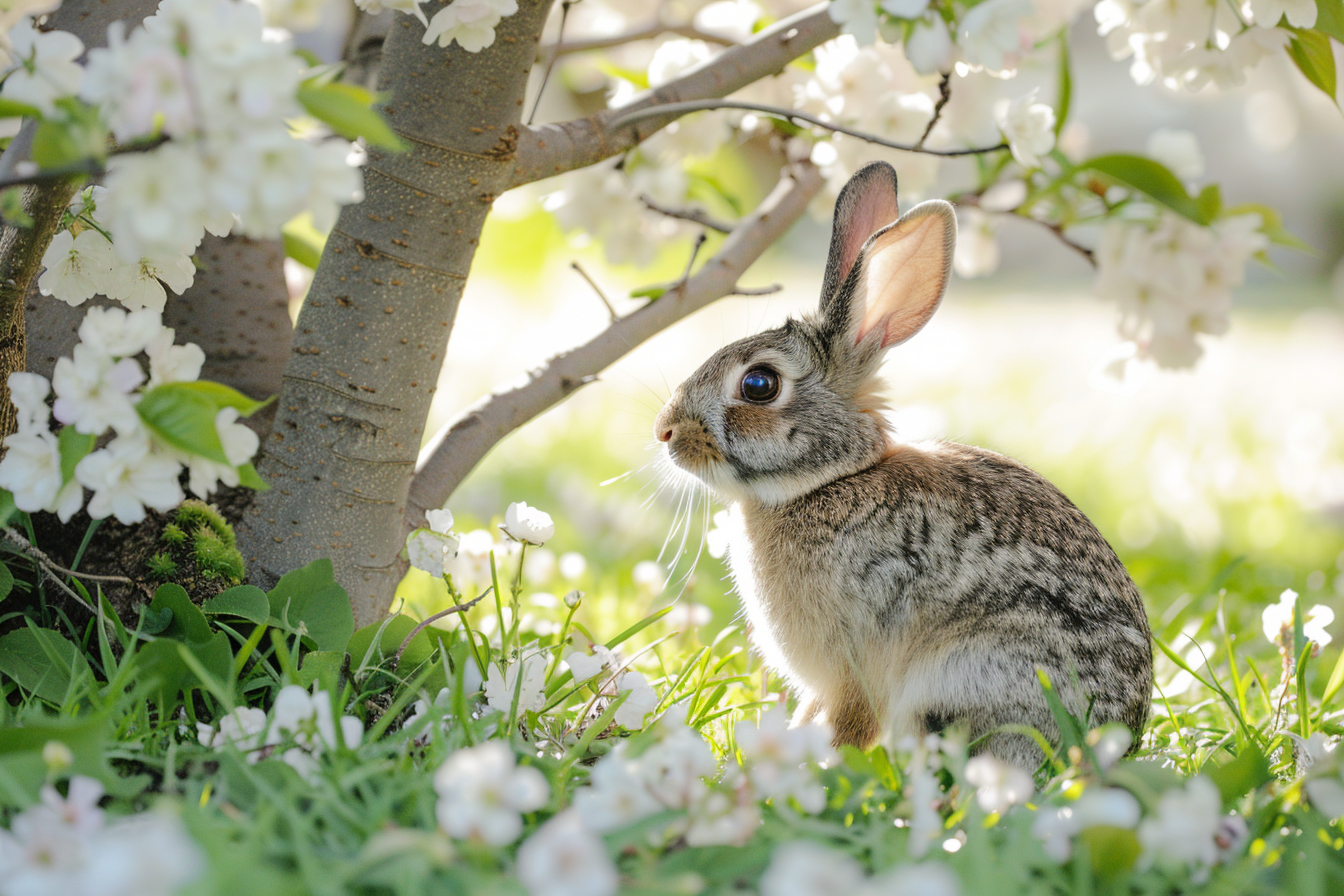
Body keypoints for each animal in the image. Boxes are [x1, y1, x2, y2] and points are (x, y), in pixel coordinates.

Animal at [653, 161, 1152, 768]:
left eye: (758, 385)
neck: (829, 481)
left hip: (965, 678)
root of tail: (1115, 746)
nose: (666, 431)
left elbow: (848, 724)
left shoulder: (856, 666)